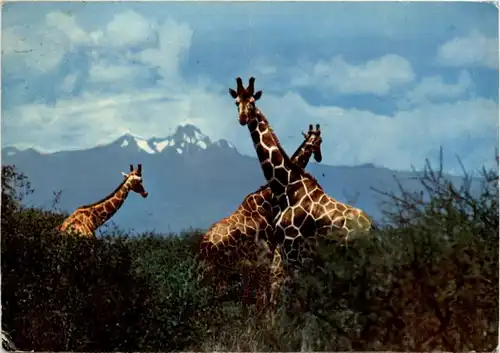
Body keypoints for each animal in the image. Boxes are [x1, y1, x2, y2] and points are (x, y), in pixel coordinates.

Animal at [200, 124, 324, 308]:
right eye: (319, 141)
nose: (319, 156)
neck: (269, 200)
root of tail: (205, 244)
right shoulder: (268, 251)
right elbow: (264, 294)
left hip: (211, 269)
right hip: (221, 269)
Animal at [229, 77, 376, 306]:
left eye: (252, 102)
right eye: (237, 102)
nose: (243, 118)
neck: (285, 185)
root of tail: (372, 228)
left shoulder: (292, 244)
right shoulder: (282, 247)